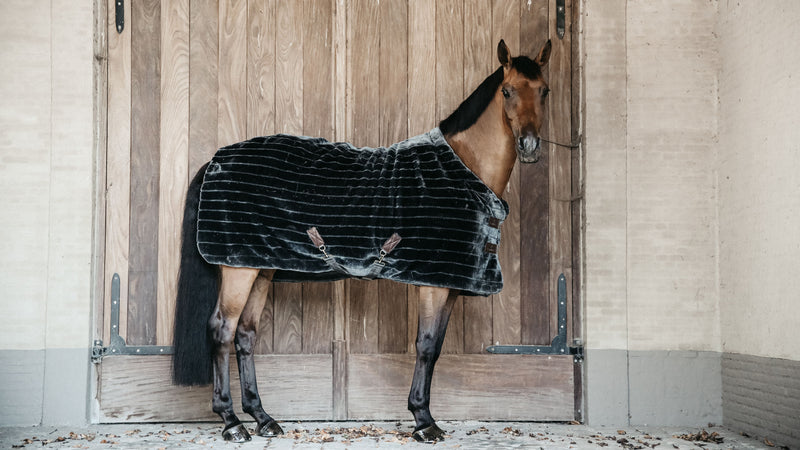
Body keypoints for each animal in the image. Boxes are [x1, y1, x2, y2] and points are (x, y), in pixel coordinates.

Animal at [171, 38, 552, 443]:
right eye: (507, 91)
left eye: (544, 90)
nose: (529, 145)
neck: (465, 167)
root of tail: (217, 160)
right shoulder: (433, 285)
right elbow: (425, 345)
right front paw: (423, 421)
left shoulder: (449, 283)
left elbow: (436, 347)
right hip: (238, 269)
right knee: (221, 332)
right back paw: (231, 422)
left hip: (261, 268)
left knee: (245, 335)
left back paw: (263, 418)